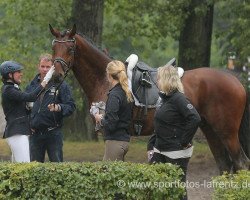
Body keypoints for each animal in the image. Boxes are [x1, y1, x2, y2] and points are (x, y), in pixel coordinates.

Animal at [49, 24, 250, 173]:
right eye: (54, 47)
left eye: (71, 48)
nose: (56, 76)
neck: (105, 79)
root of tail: (235, 80)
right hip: (210, 130)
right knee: (225, 166)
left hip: (227, 132)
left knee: (240, 163)